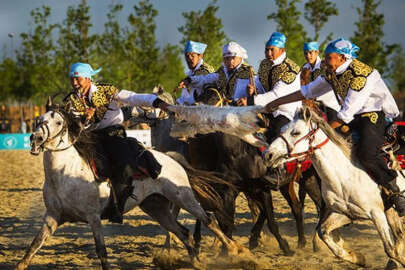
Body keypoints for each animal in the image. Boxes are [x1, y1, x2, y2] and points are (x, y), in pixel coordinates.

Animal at [266, 107, 404, 268]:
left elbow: (391, 249)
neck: (345, 176)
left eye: (296, 132)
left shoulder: (376, 214)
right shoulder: (346, 214)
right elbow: (323, 232)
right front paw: (358, 258)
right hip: (390, 210)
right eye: (282, 129)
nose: (268, 154)